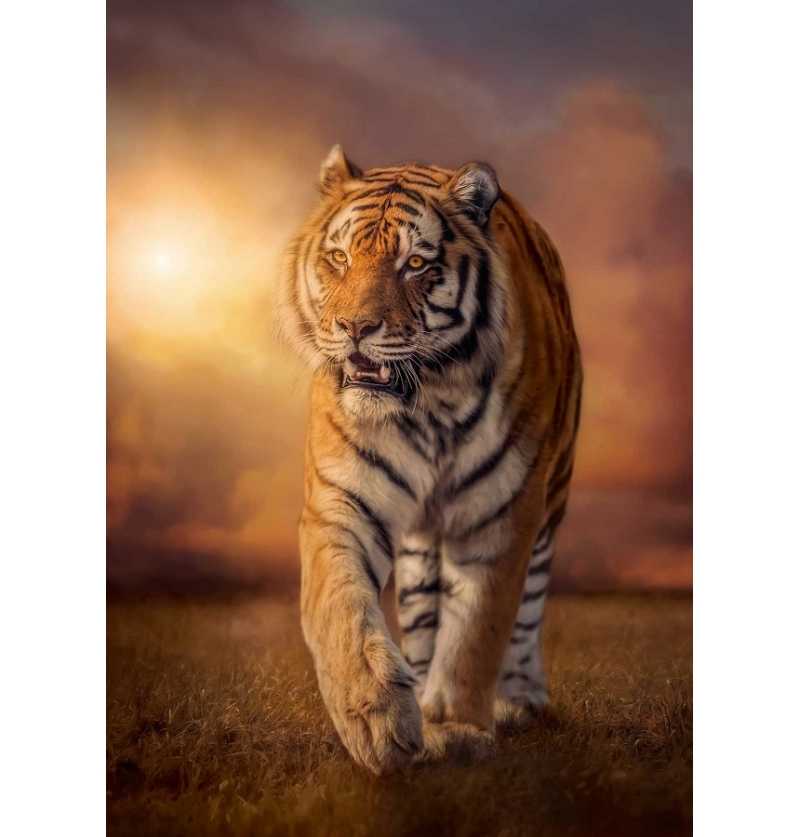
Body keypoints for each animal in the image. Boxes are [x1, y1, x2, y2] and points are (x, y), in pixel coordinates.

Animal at [278, 144, 582, 774]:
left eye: (415, 263)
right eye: (340, 257)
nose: (355, 328)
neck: (429, 404)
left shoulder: (501, 514)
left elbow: (477, 631)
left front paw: (457, 727)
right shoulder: (341, 501)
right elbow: (340, 605)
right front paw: (376, 719)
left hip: (552, 499)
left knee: (528, 609)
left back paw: (520, 699)